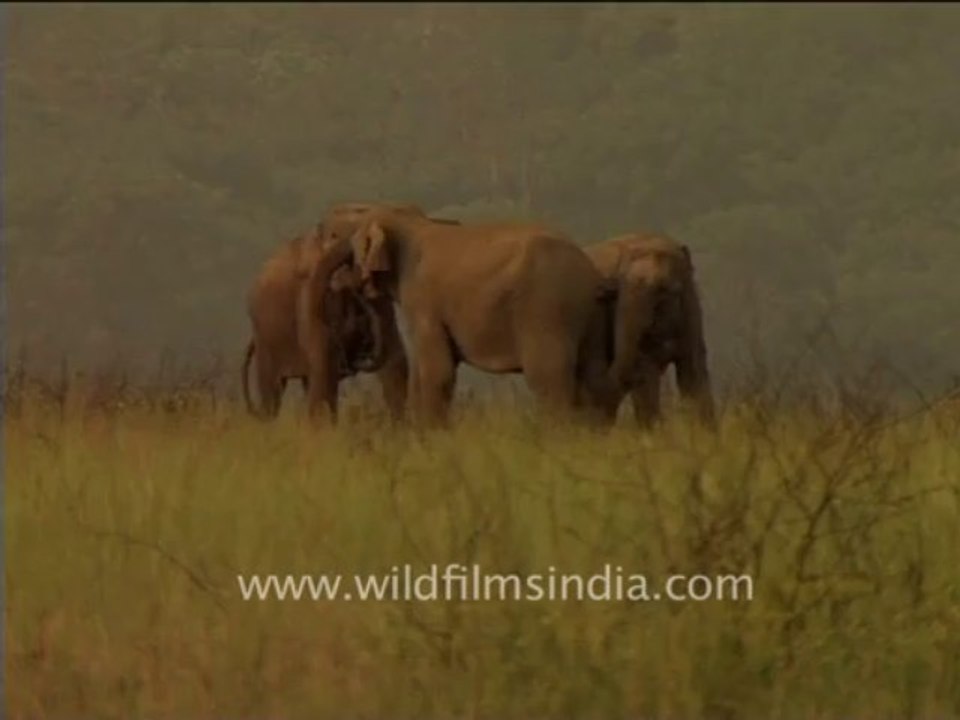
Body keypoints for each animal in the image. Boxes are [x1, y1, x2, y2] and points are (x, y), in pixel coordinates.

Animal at [314, 205, 623, 427]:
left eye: (335, 240)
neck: (409, 220)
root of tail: (588, 272)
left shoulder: (423, 299)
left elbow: (437, 370)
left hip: (547, 308)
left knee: (548, 377)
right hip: (589, 314)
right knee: (593, 374)